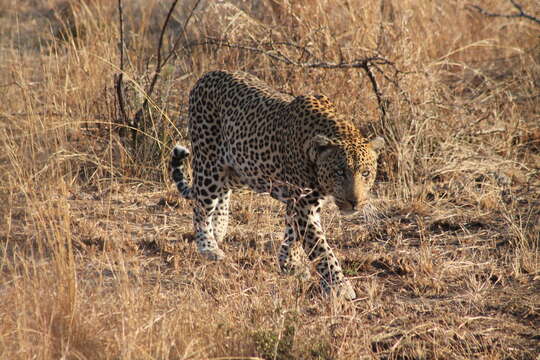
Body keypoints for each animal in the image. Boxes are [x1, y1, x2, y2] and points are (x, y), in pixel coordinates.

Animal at [170, 69, 384, 298]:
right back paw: (208, 246)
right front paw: (339, 286)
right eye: (339, 172)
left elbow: (293, 234)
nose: (354, 202)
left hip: (241, 168)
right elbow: (320, 248)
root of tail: (207, 75)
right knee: (200, 204)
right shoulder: (304, 204)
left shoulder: (298, 202)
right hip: (208, 162)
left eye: (365, 173)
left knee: (223, 191)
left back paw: (218, 228)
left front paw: (290, 263)